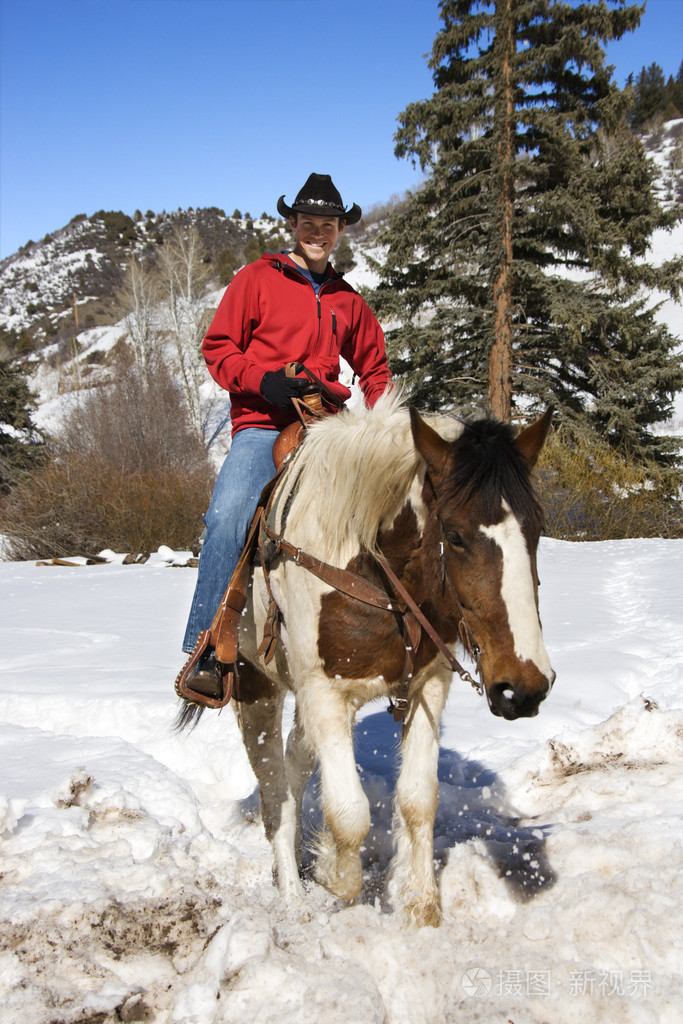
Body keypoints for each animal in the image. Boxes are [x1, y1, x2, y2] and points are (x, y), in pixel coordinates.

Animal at [176, 393, 557, 929]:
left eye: (537, 530)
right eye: (457, 536)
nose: (522, 689)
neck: (369, 566)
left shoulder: (427, 685)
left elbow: (418, 799)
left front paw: (422, 908)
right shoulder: (324, 694)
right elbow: (349, 813)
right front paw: (334, 877)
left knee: (295, 764)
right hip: (255, 691)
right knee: (275, 793)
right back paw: (292, 896)